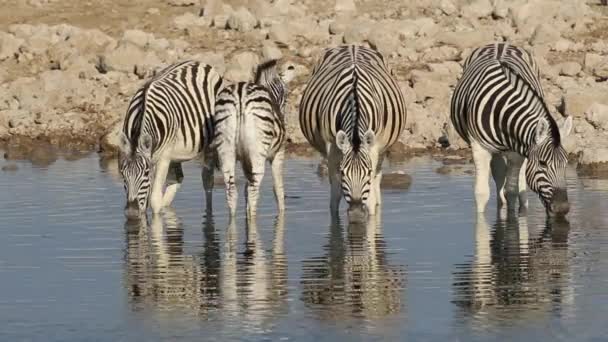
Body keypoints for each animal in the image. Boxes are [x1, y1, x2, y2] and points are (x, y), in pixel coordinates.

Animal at [119, 60, 223, 218]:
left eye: (146, 173)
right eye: (122, 174)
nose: (131, 212)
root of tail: (198, 62)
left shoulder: (163, 158)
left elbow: (155, 201)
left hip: (209, 141)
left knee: (207, 179)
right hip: (175, 154)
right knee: (177, 178)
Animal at [213, 59, 296, 216]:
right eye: (286, 98)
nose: (283, 117)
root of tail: (240, 93)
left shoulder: (245, 160)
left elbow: (245, 189)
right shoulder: (279, 153)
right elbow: (278, 189)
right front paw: (282, 215)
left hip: (225, 148)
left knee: (232, 192)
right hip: (258, 151)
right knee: (253, 191)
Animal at [298, 45, 406, 220]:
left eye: (367, 172)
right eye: (343, 172)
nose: (356, 214)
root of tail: (352, 45)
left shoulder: (373, 150)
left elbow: (370, 198)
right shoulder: (332, 149)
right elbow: (335, 196)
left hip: (383, 148)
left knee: (378, 180)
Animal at [452, 43, 576, 216]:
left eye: (566, 163)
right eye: (543, 163)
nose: (562, 208)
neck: (501, 110)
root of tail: (499, 43)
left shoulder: (518, 149)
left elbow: (511, 190)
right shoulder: (479, 147)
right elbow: (482, 193)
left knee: (518, 178)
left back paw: (523, 204)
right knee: (498, 173)